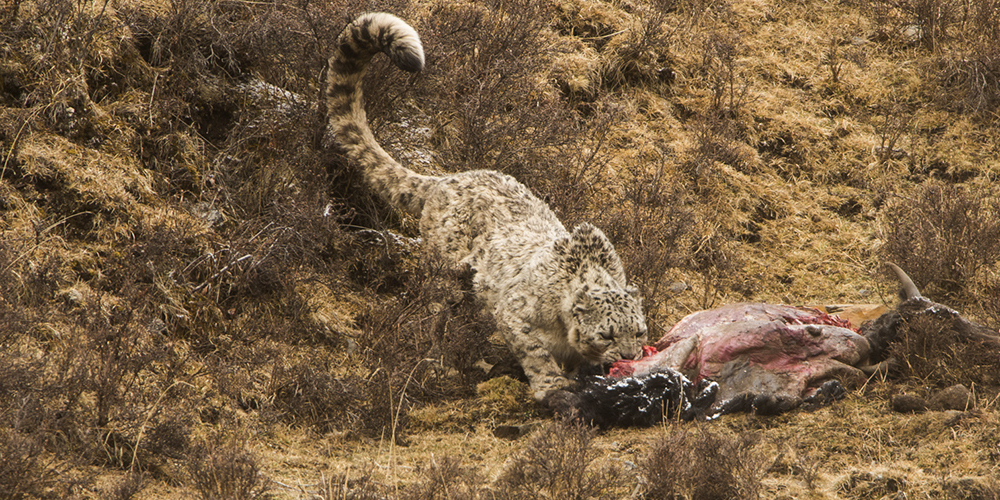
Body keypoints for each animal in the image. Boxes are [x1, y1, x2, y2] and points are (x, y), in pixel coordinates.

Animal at [322, 12, 648, 402]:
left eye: (640, 330)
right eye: (607, 334)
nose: (630, 355)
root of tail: (447, 179)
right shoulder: (516, 315)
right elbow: (536, 353)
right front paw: (552, 387)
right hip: (443, 270)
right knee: (434, 310)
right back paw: (439, 354)